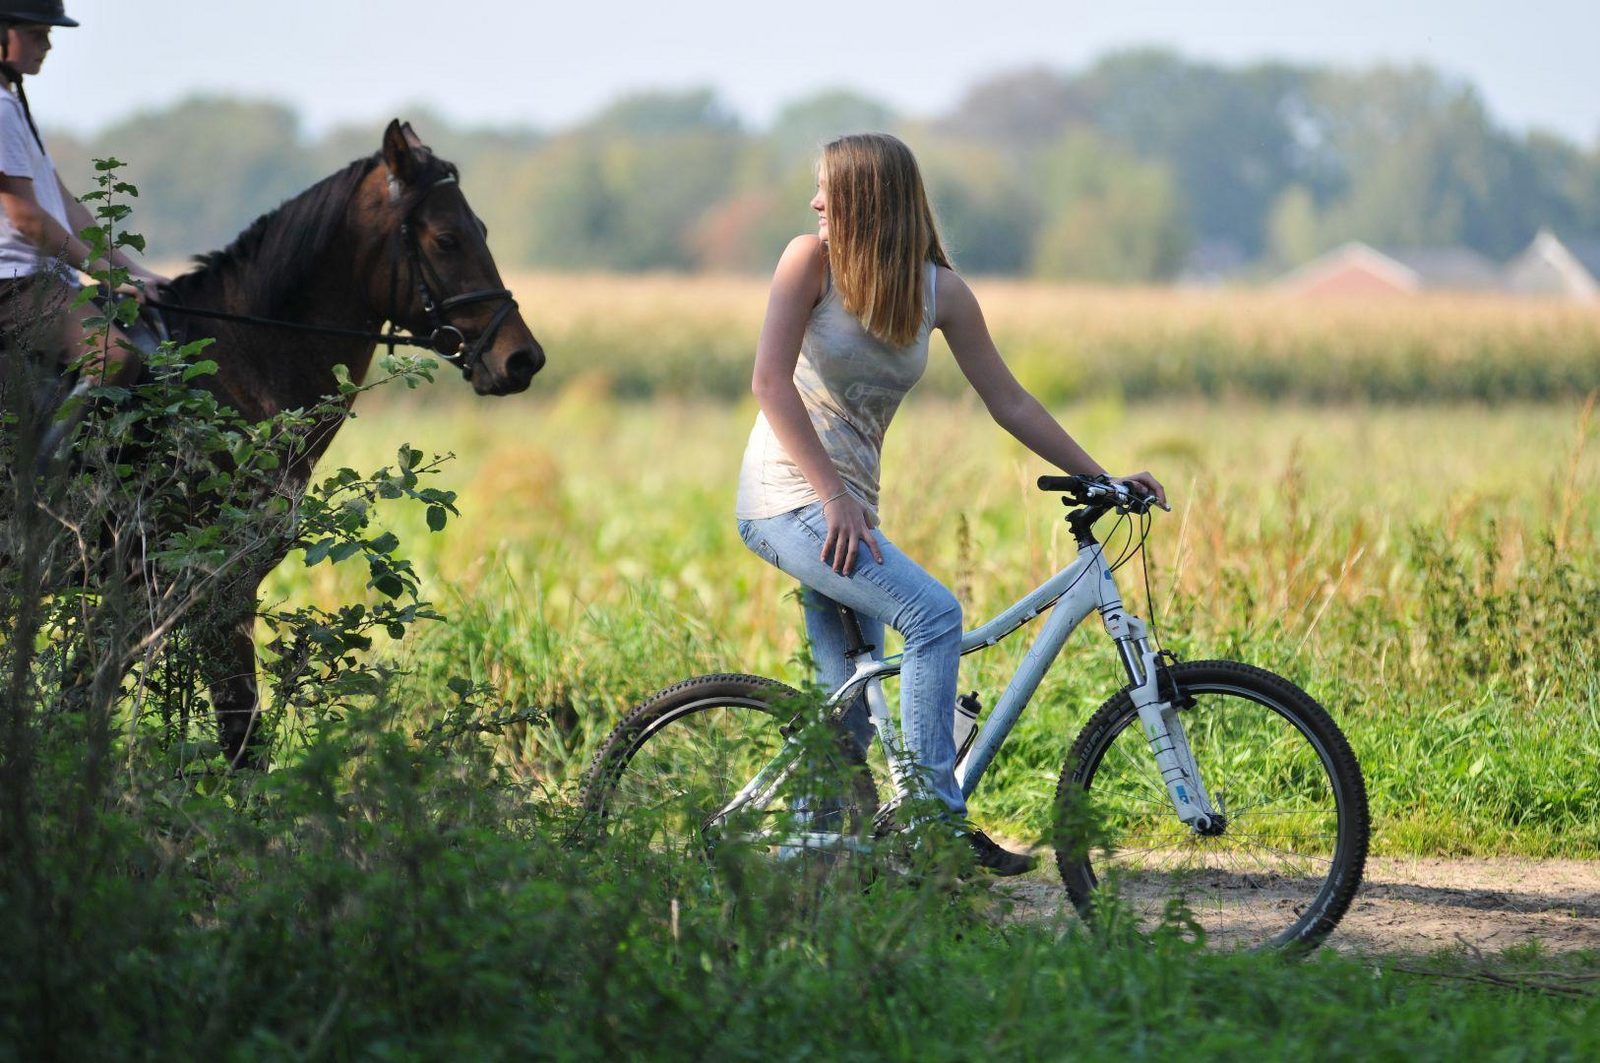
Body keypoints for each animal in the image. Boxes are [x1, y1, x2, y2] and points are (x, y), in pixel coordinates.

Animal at [151, 120, 550, 768]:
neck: (235, 364)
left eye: (483, 232)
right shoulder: (215, 591)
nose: (523, 359)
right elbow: (242, 740)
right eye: (447, 239)